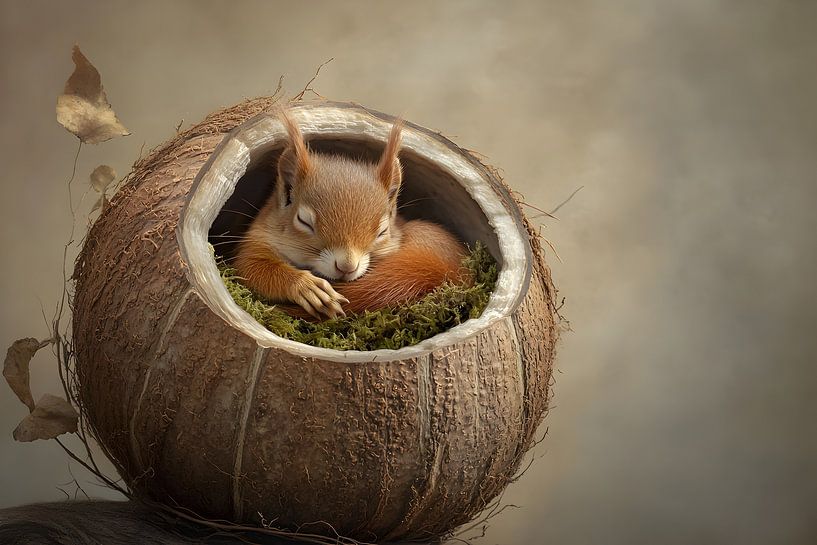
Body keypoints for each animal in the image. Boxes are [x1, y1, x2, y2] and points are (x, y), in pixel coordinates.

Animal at [233, 108, 468, 320]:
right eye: (303, 221)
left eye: (383, 231)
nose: (347, 267)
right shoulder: (257, 239)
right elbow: (252, 268)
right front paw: (307, 287)